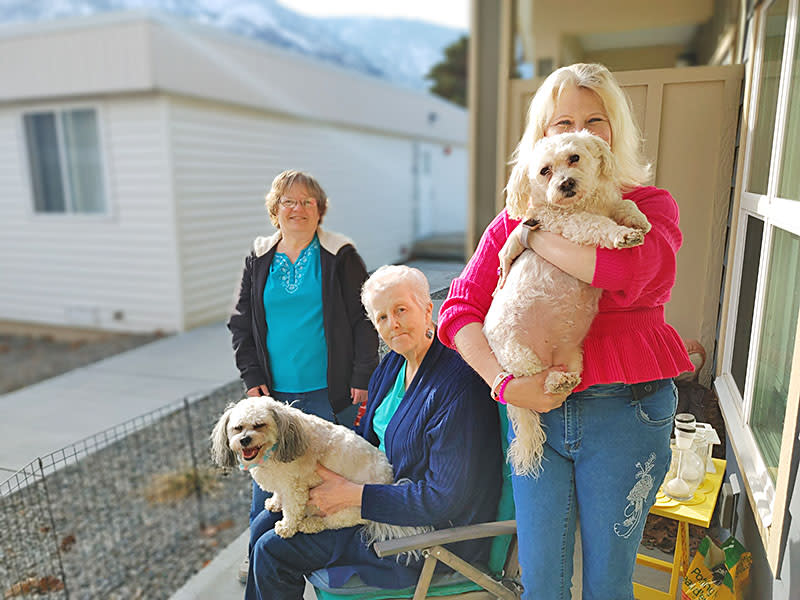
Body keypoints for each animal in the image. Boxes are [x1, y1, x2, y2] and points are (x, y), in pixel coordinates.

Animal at [211, 396, 424, 540]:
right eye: (238, 428)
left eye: (259, 425)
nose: (245, 440)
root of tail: (390, 480)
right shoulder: (282, 482)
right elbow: (279, 495)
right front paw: (275, 502)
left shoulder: (294, 487)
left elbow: (291, 509)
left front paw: (286, 527)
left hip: (349, 510)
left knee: (332, 522)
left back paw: (310, 523)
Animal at [488, 129, 648, 476]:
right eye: (544, 171)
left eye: (574, 158)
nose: (566, 184)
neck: (584, 202)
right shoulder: (570, 225)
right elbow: (598, 226)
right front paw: (622, 235)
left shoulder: (610, 203)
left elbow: (626, 203)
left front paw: (638, 222)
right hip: (520, 357)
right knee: (539, 381)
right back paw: (554, 381)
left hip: (574, 357)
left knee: (562, 375)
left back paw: (564, 379)